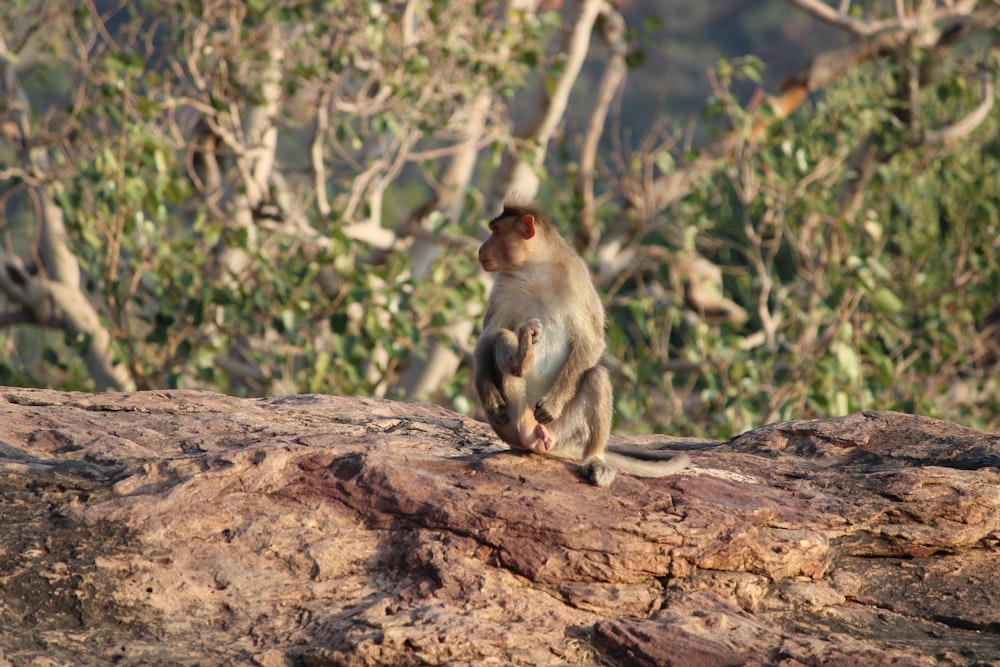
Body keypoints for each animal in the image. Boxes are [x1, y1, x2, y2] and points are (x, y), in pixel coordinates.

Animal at [472, 201, 692, 488]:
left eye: (496, 231)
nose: (480, 248)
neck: (535, 269)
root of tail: (534, 439)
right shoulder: (502, 286)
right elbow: (488, 337)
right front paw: (488, 393)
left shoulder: (577, 279)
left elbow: (591, 341)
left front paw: (553, 404)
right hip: (512, 423)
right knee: (503, 338)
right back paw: (523, 358)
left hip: (562, 429)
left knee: (596, 376)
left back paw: (594, 460)